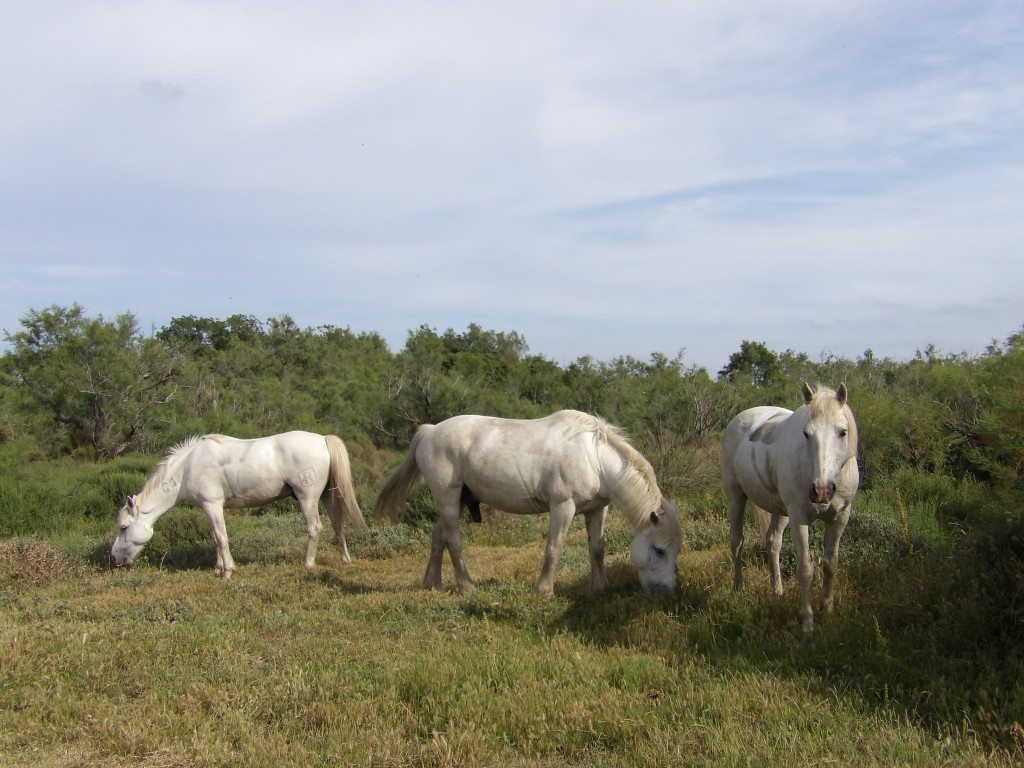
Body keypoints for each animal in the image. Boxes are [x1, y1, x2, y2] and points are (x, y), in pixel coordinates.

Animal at [111, 430, 368, 581]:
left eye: (123, 527)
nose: (113, 559)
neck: (187, 468)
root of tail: (323, 439)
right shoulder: (208, 508)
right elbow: (214, 537)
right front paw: (218, 567)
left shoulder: (213, 505)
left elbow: (222, 537)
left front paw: (227, 571)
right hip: (327, 497)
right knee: (338, 526)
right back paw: (345, 559)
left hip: (308, 499)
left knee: (315, 529)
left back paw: (308, 564)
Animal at [370, 411, 679, 598]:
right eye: (659, 550)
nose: (668, 591)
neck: (593, 456)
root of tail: (430, 430)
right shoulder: (563, 506)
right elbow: (554, 549)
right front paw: (544, 589)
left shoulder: (596, 509)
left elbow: (597, 549)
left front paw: (600, 587)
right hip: (448, 496)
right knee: (454, 540)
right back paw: (466, 586)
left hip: (458, 500)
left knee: (439, 537)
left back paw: (432, 584)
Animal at [724, 382, 860, 630]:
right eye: (806, 434)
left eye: (842, 432)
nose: (822, 490)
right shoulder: (800, 517)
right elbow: (805, 569)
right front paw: (807, 622)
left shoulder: (840, 517)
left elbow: (830, 564)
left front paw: (828, 610)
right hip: (736, 496)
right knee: (736, 542)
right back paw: (738, 587)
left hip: (780, 511)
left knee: (773, 543)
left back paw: (777, 590)